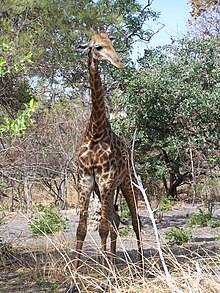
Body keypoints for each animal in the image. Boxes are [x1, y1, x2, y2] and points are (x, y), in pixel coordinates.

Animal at [74, 30, 143, 270]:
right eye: (97, 47)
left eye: (112, 44)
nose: (119, 63)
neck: (96, 133)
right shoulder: (86, 182)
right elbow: (82, 229)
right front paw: (74, 276)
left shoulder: (105, 180)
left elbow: (102, 228)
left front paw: (105, 275)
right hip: (108, 188)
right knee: (115, 221)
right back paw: (112, 262)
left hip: (126, 181)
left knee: (134, 220)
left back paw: (141, 267)